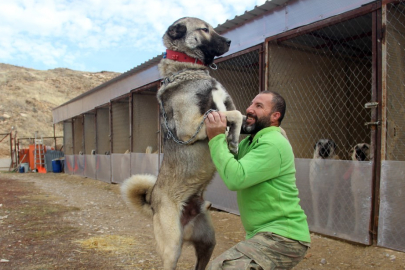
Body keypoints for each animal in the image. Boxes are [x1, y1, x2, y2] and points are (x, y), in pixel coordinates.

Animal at [118, 17, 241, 270]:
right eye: (204, 29)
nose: (229, 41)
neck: (188, 70)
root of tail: (152, 201)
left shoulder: (226, 106)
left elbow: (239, 115)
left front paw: (235, 141)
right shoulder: (190, 128)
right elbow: (234, 115)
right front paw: (233, 139)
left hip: (208, 243)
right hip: (172, 246)